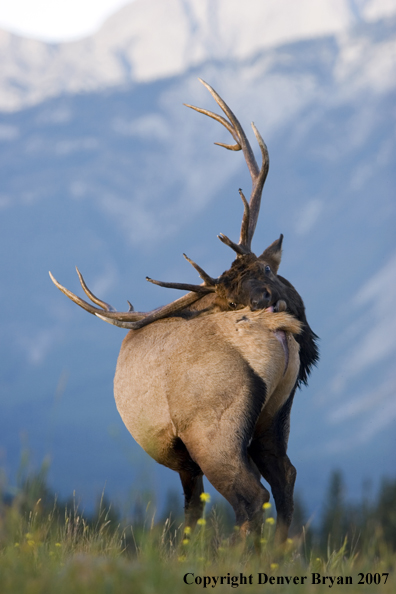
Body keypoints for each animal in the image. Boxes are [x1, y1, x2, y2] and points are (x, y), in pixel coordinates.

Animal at [51, 80, 320, 544]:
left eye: (266, 268)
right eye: (229, 300)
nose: (266, 301)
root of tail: (275, 329)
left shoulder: (180, 452)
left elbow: (191, 511)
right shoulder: (187, 459)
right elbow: (194, 511)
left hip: (213, 430)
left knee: (251, 494)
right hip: (274, 418)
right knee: (285, 477)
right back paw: (283, 552)